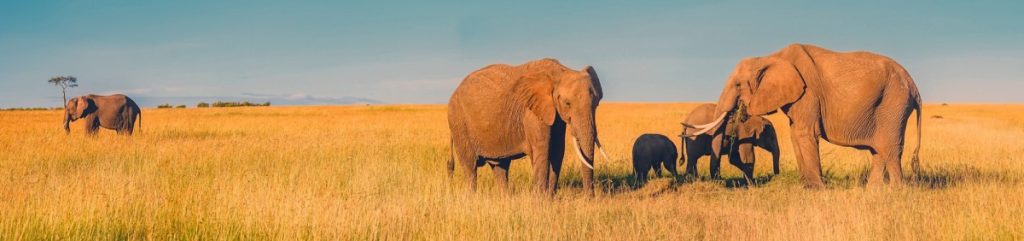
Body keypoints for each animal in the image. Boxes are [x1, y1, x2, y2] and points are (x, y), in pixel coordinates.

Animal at [444, 58, 602, 195]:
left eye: (596, 103)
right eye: (567, 103)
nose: (590, 199)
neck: (560, 71)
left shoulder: (554, 114)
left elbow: (557, 151)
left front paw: (550, 198)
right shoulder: (532, 113)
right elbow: (543, 151)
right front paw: (541, 200)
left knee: (500, 167)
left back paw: (505, 198)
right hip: (459, 122)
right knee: (470, 167)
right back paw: (472, 197)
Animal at [684, 44, 925, 189]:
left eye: (737, 85)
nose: (776, 176)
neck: (771, 57)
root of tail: (915, 87)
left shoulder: (808, 92)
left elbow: (803, 133)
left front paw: (817, 189)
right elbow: (794, 134)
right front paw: (805, 185)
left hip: (893, 103)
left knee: (890, 149)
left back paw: (895, 192)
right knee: (879, 150)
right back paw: (872, 191)